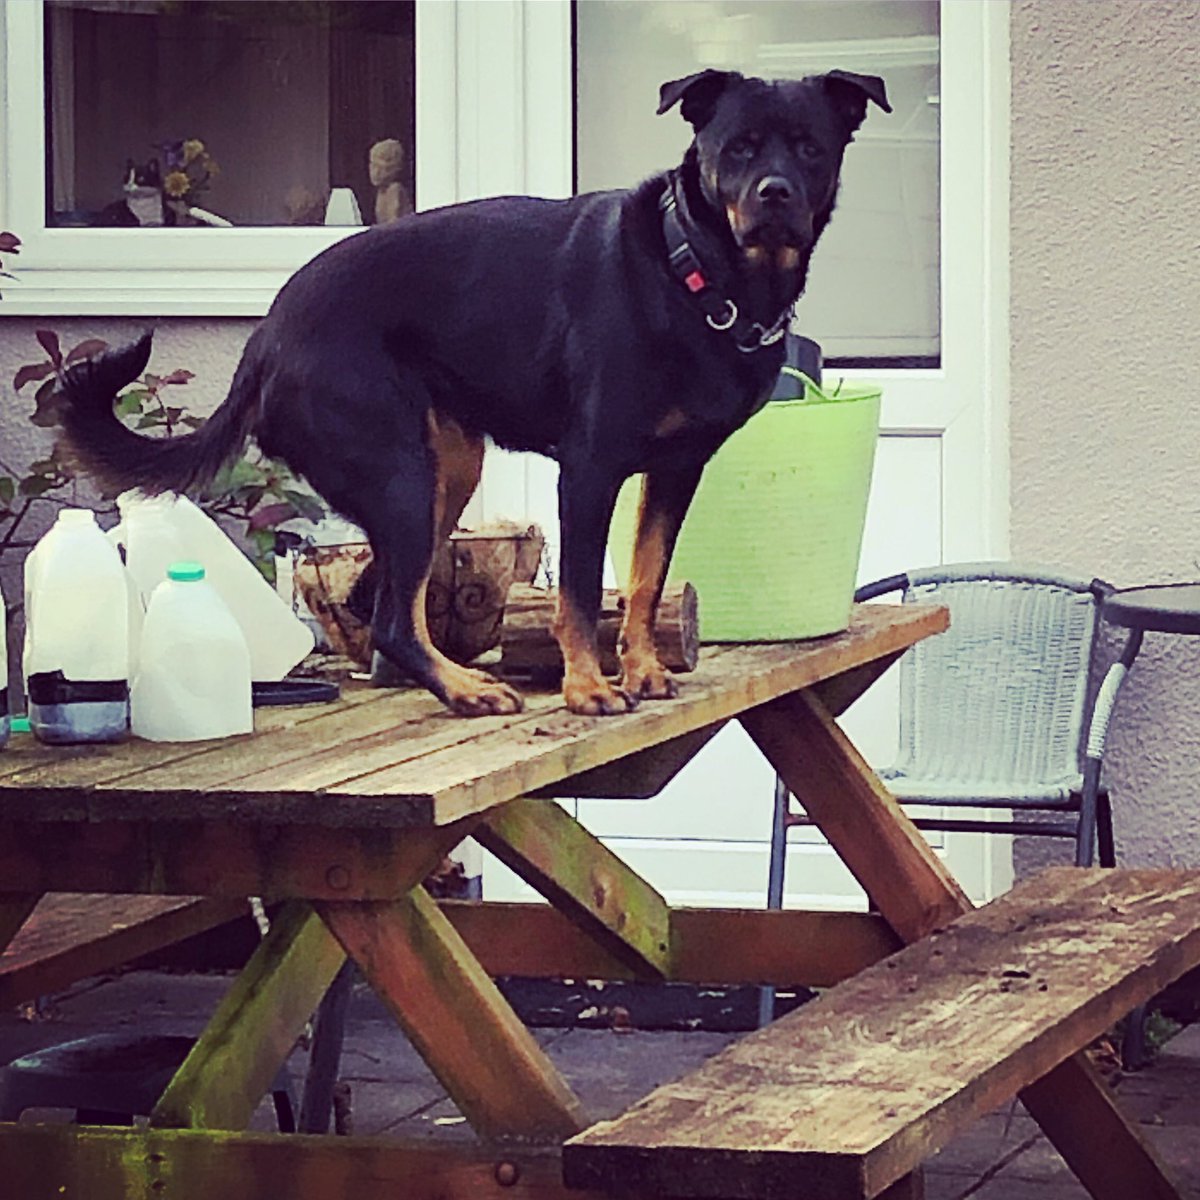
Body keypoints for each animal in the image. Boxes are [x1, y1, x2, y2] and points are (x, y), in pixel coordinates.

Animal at [63, 68, 892, 710]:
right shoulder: (589, 470)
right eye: (737, 149)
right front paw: (588, 690)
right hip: (401, 473)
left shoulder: (676, 471)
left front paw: (643, 671)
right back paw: (464, 690)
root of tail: (264, 340)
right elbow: (581, 592)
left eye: (810, 148)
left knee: (384, 604)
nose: (776, 193)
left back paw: (444, 682)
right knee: (391, 615)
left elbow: (646, 579)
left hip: (445, 472)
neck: (694, 271)